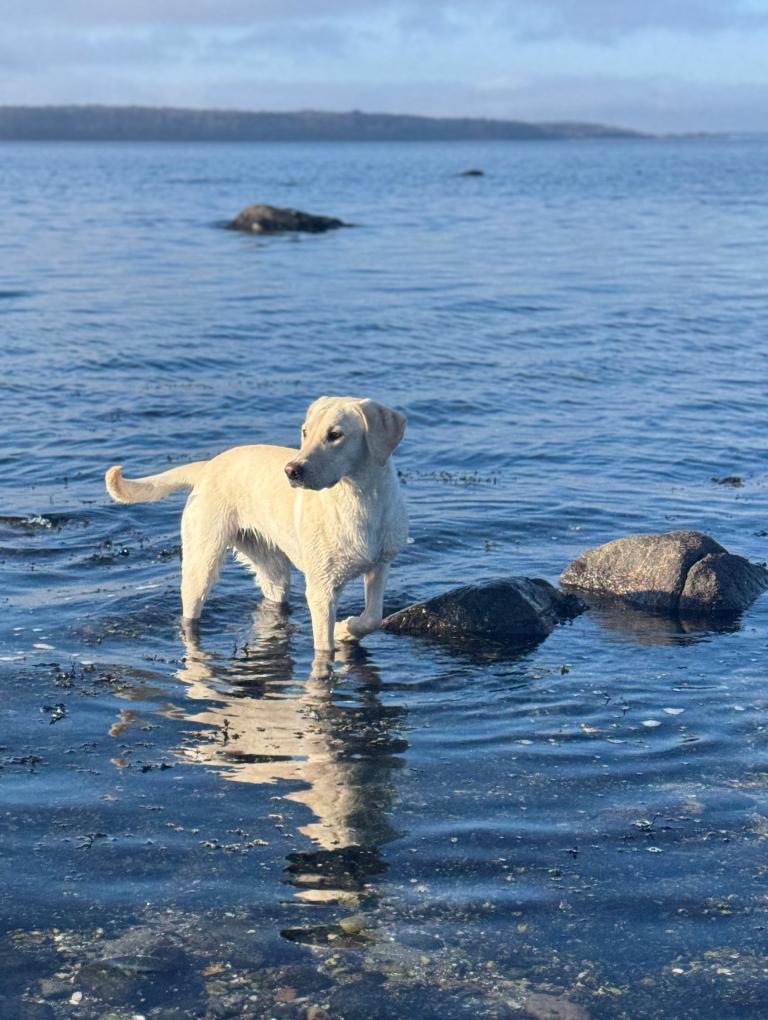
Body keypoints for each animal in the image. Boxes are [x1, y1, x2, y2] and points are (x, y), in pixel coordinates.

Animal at [104, 396, 407, 665]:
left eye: (335, 435)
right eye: (305, 432)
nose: (291, 470)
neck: (359, 500)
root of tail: (208, 466)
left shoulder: (380, 565)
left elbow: (372, 618)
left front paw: (346, 628)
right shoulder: (321, 588)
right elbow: (325, 648)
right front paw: (339, 635)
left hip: (270, 567)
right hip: (201, 563)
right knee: (190, 613)